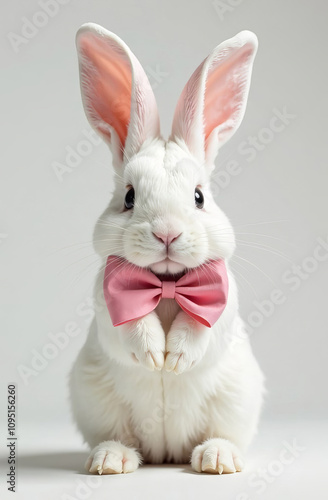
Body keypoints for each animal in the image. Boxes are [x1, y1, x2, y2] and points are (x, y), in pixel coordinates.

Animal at [69, 23, 264, 474]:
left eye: (199, 197)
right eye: (128, 197)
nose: (167, 234)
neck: (166, 283)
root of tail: (166, 452)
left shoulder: (223, 305)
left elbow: (201, 328)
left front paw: (174, 361)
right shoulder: (107, 304)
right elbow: (132, 328)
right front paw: (155, 357)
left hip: (235, 398)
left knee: (222, 436)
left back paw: (216, 458)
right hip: (97, 398)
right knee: (120, 439)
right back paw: (111, 460)